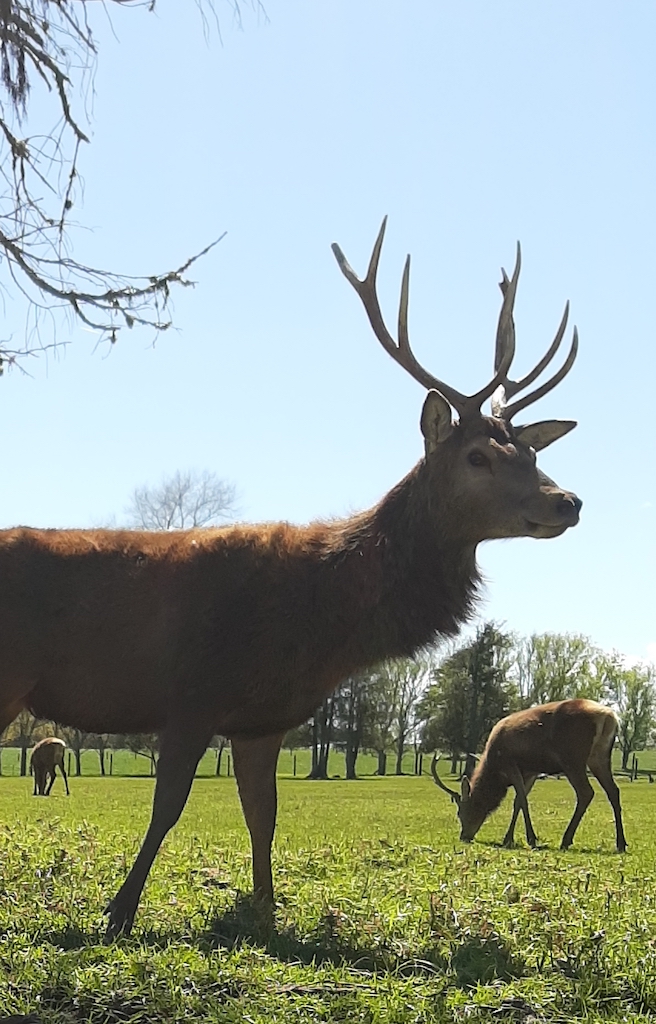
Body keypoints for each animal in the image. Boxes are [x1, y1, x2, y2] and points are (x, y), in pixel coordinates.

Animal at [0, 219, 581, 939]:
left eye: (530, 451)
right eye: (477, 455)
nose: (568, 501)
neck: (322, 623)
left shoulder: (263, 721)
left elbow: (264, 817)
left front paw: (266, 909)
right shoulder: (193, 694)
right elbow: (168, 808)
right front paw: (119, 911)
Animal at [431, 698, 627, 852]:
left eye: (461, 812)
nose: (464, 836)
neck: (494, 768)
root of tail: (608, 715)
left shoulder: (511, 764)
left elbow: (522, 801)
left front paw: (531, 839)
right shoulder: (531, 772)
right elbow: (518, 801)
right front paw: (508, 838)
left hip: (572, 759)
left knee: (586, 792)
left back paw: (566, 840)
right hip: (599, 756)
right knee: (613, 791)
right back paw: (621, 843)